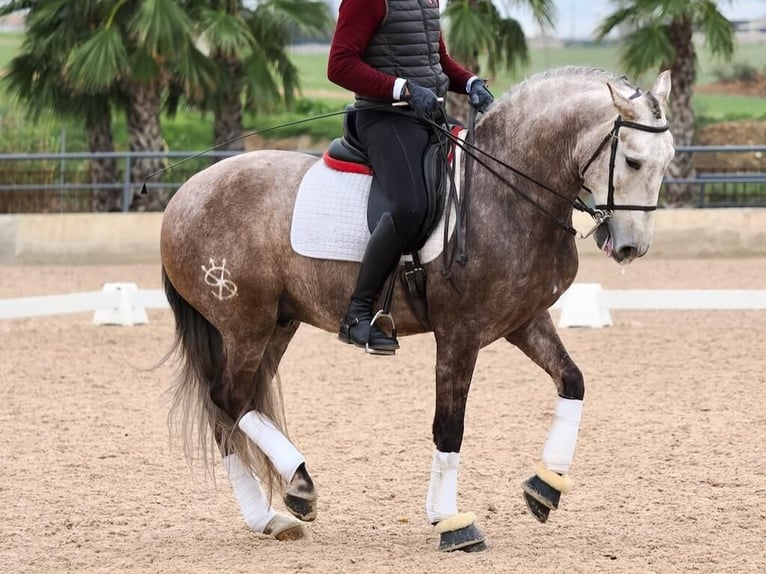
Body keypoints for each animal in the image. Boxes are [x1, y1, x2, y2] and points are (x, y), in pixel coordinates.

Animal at [160, 67, 672, 552]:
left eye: (667, 161)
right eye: (632, 159)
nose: (631, 247)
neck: (505, 191)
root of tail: (184, 194)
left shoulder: (524, 321)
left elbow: (572, 382)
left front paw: (545, 488)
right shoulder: (460, 333)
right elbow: (450, 426)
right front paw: (451, 522)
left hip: (277, 325)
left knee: (230, 412)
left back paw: (271, 515)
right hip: (245, 322)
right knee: (228, 399)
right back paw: (299, 484)